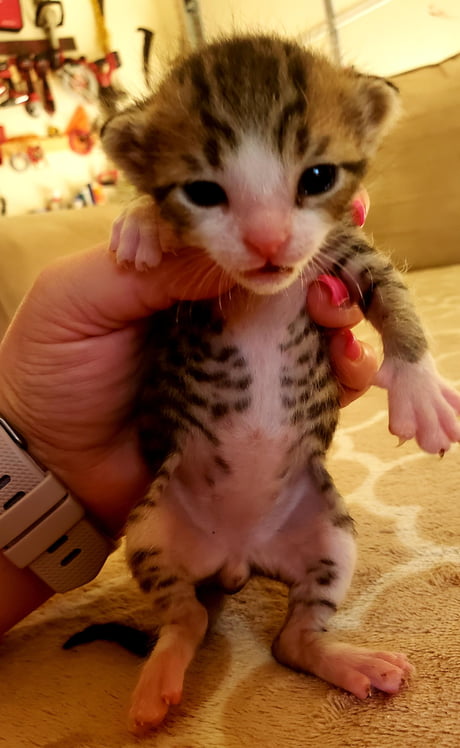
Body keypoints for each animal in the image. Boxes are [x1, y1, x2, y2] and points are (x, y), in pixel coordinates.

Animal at [99, 35, 460, 734]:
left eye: (317, 177)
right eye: (202, 192)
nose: (267, 240)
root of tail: (238, 558)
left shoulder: (344, 251)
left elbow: (396, 297)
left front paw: (422, 391)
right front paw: (140, 223)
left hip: (331, 535)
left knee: (289, 639)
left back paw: (347, 661)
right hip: (151, 528)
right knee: (188, 619)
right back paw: (158, 681)